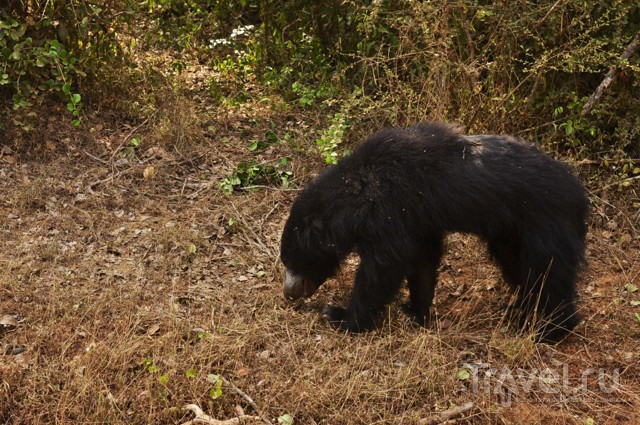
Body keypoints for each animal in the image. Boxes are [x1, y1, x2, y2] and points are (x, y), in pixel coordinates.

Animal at [282, 121, 592, 342]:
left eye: (293, 261)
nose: (288, 293)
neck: (358, 193)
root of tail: (581, 196)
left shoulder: (390, 213)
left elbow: (382, 269)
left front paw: (340, 316)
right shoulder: (419, 222)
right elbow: (423, 262)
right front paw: (416, 310)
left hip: (545, 226)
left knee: (549, 274)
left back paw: (550, 331)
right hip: (511, 233)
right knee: (521, 270)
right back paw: (522, 310)